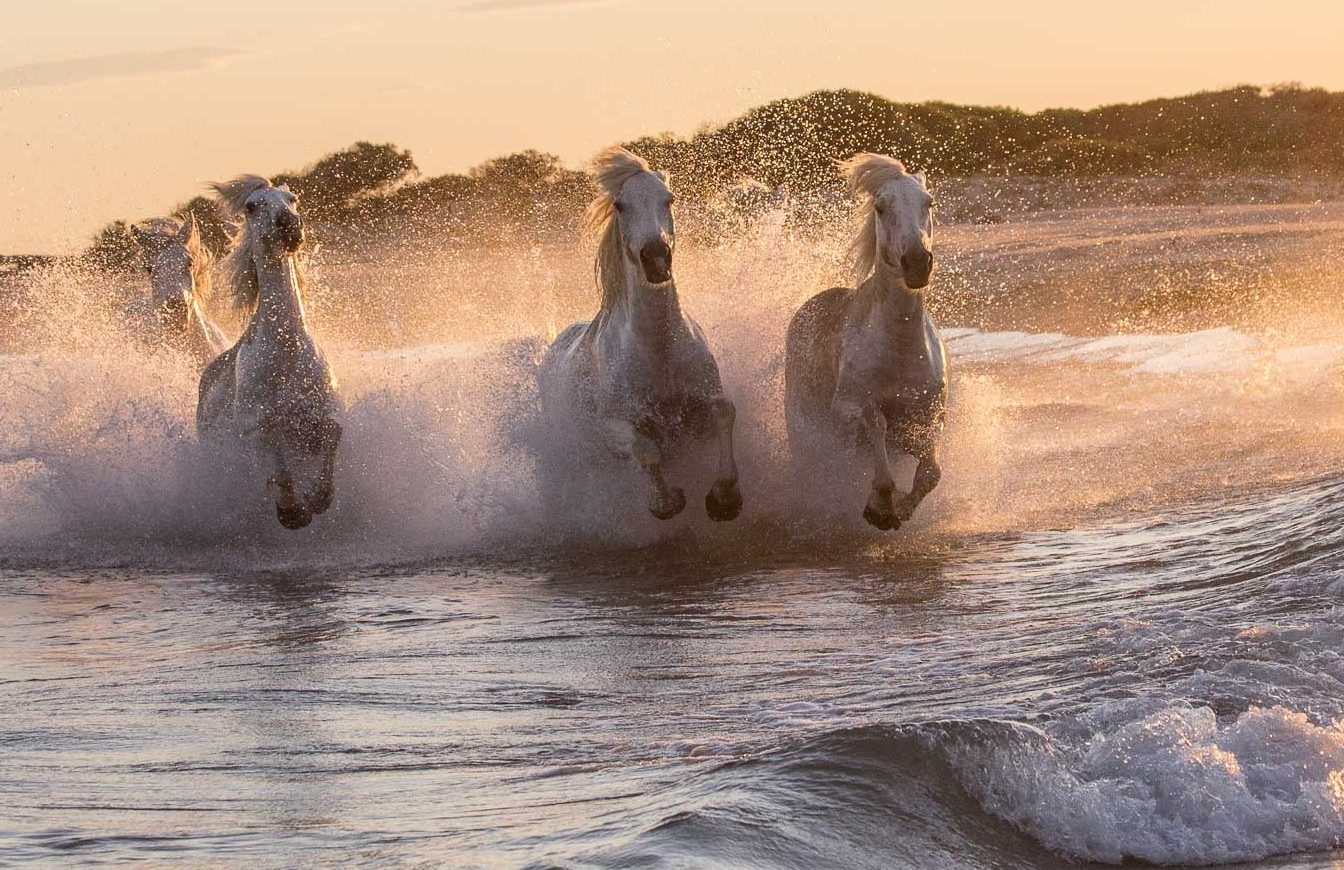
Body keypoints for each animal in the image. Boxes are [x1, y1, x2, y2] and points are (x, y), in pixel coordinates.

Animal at [198, 174, 346, 529]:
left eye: (292, 199)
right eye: (252, 206)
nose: (289, 224)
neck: (286, 350)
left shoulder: (323, 412)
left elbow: (333, 432)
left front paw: (319, 497)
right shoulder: (256, 425)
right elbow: (276, 462)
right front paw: (292, 512)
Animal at [537, 147, 747, 524]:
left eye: (669, 199)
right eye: (621, 205)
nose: (656, 257)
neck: (658, 347)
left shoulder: (702, 402)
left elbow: (725, 412)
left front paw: (724, 498)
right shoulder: (614, 427)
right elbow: (645, 447)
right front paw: (666, 502)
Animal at [784, 153, 946, 529]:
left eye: (928, 202)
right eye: (881, 207)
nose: (918, 262)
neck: (899, 349)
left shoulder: (927, 417)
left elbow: (930, 472)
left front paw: (901, 510)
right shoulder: (849, 410)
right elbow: (876, 429)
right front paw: (880, 510)